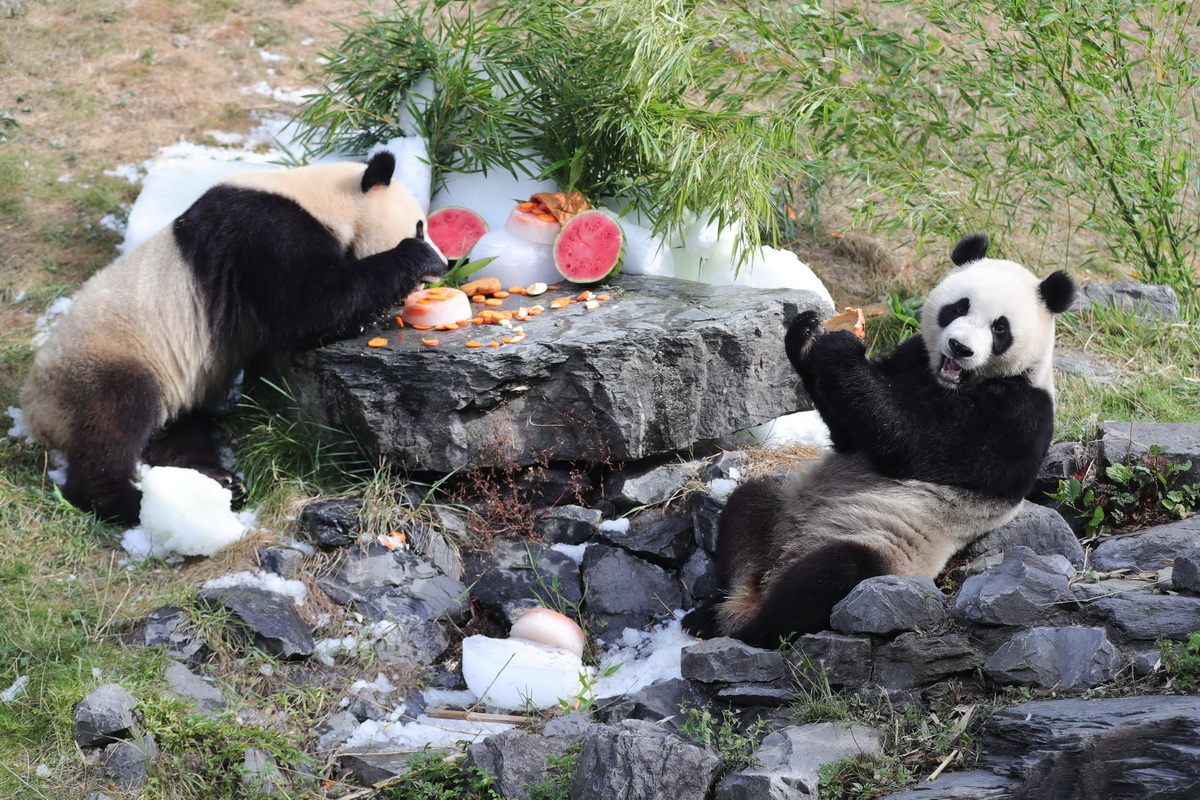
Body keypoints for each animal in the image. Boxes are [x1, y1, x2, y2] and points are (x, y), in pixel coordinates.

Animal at [21, 151, 446, 525]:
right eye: (420, 226)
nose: (443, 265)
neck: (324, 197)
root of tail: (37, 413)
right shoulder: (263, 231)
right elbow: (307, 305)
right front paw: (414, 259)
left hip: (177, 384)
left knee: (178, 431)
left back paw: (220, 482)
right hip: (105, 359)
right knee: (115, 418)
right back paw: (122, 501)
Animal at [686, 235, 1080, 647]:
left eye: (1000, 328)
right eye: (959, 306)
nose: (960, 348)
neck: (951, 382)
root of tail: (782, 562)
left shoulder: (1015, 416)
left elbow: (910, 442)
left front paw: (841, 348)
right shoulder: (912, 358)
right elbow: (849, 436)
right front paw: (806, 335)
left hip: (883, 548)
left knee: (831, 575)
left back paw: (750, 629)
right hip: (782, 509)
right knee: (747, 511)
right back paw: (712, 613)